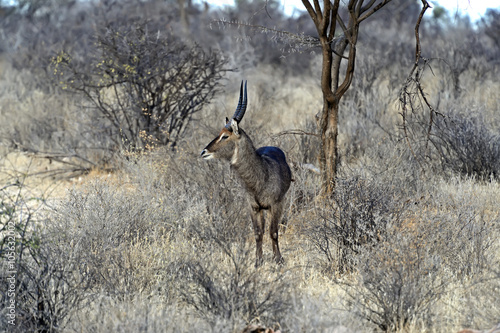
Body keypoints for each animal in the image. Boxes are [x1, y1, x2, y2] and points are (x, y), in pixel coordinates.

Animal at [200, 80, 292, 264]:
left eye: (225, 136)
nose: (204, 152)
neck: (261, 177)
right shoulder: (253, 207)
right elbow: (258, 233)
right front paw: (258, 261)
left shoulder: (276, 204)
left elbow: (274, 232)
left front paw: (278, 259)